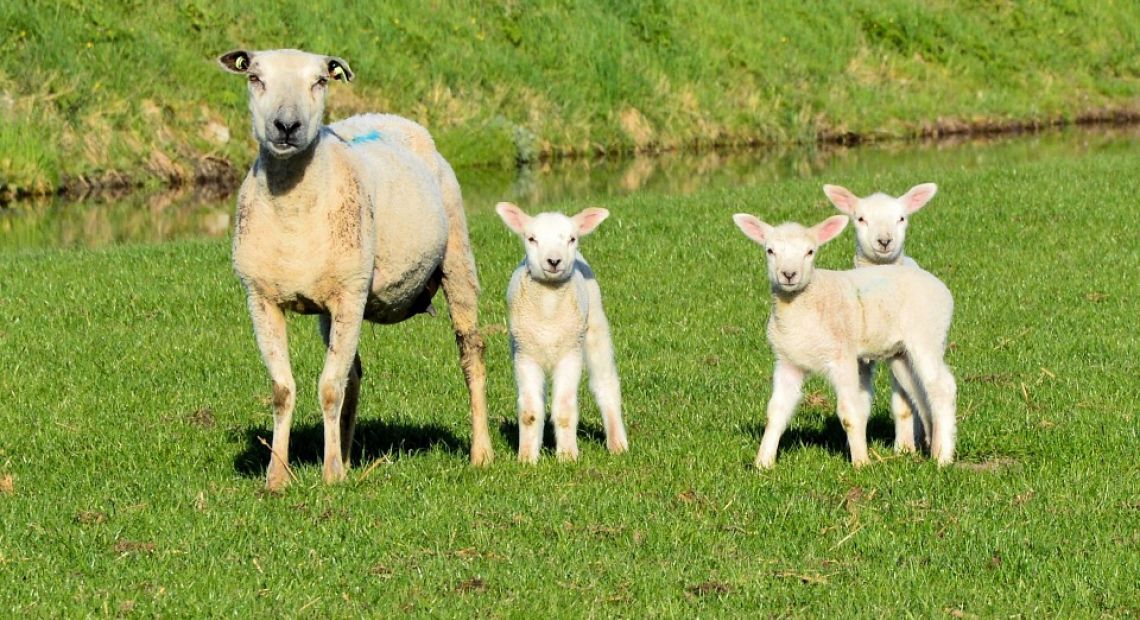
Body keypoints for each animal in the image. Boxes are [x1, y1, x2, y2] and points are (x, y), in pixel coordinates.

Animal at [218, 48, 493, 490]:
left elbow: (329, 388)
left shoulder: (349, 294)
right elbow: (283, 389)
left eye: (319, 81)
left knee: (471, 352)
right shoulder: (261, 298)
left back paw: (481, 453)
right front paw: (278, 477)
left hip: (456, 260)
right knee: (353, 374)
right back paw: (346, 455)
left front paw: (330, 476)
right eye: (255, 78)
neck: (292, 213)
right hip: (338, 302)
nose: (286, 126)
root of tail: (389, 117)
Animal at [494, 202, 628, 463]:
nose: (554, 261)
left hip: (594, 326)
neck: (548, 312)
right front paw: (527, 458)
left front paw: (567, 456)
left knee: (605, 383)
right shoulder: (525, 355)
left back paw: (618, 443)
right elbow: (529, 412)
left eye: (571, 238)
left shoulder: (570, 354)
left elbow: (565, 410)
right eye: (531, 238)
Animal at [731, 212, 957, 468]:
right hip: (901, 354)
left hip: (927, 335)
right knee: (920, 391)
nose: (788, 275)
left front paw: (861, 462)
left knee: (942, 387)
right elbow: (775, 413)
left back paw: (943, 456)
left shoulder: (843, 357)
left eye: (810, 251)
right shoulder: (788, 361)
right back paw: (931, 445)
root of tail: (940, 286)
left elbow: (850, 413)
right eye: (770, 250)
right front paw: (763, 463)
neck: (803, 305)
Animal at [823, 182, 939, 453]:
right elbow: (860, 405)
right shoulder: (859, 359)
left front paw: (904, 448)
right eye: (860, 219)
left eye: (902, 218)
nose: (884, 241)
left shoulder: (898, 351)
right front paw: (854, 445)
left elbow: (903, 404)